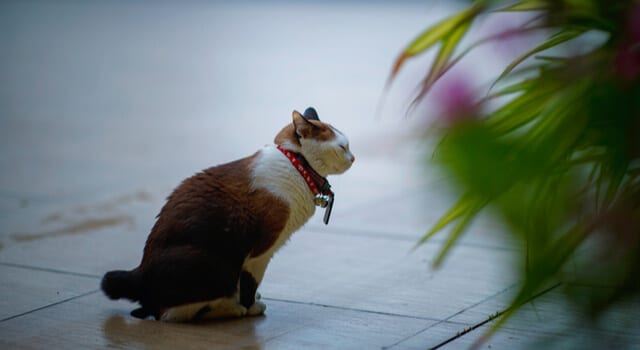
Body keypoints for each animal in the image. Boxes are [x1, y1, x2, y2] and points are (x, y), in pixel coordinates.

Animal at [100, 107, 356, 322]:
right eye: (342, 147)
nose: (353, 158)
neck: (298, 166)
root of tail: (140, 271)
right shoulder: (260, 253)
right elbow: (250, 284)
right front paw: (250, 306)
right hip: (216, 264)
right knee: (171, 314)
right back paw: (230, 308)